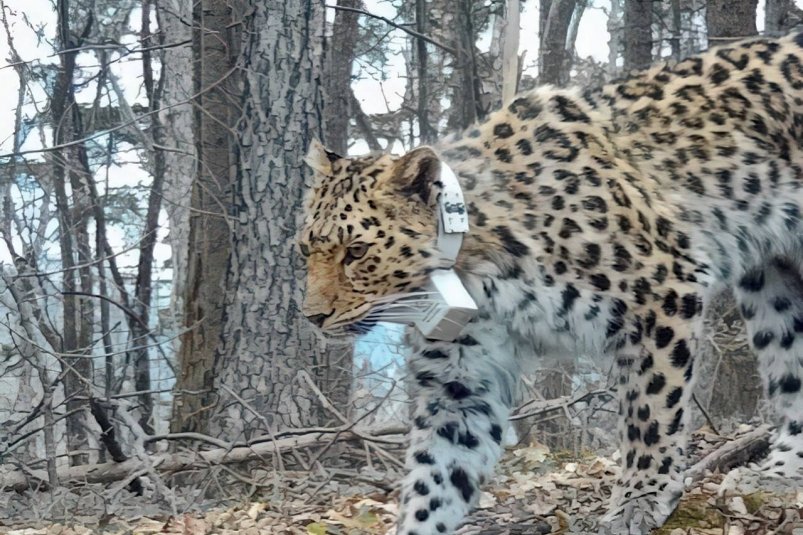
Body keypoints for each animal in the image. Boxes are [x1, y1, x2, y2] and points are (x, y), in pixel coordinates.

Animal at [298, 31, 803, 532]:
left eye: (356, 252)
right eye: (306, 250)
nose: (313, 317)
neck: (475, 271)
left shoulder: (664, 292)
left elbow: (651, 410)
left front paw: (638, 499)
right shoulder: (461, 381)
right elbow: (435, 478)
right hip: (773, 286)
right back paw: (779, 474)